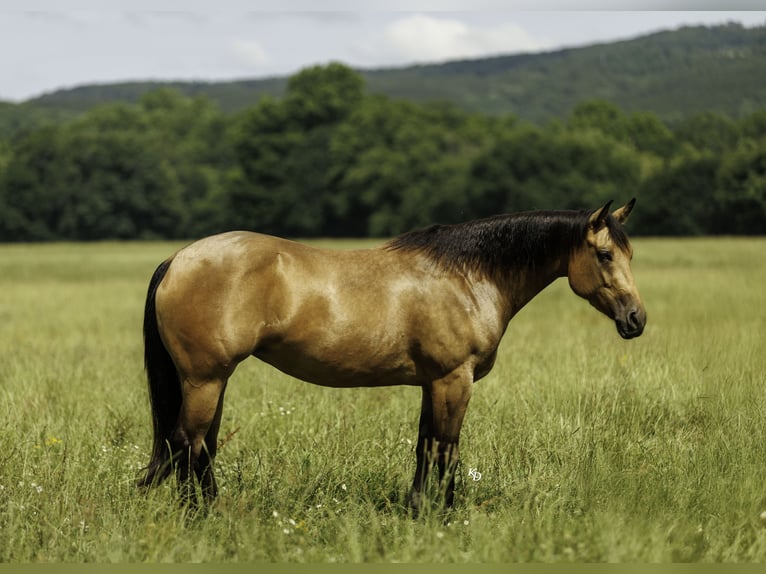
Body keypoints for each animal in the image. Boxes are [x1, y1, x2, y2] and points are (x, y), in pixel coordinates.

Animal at [138, 199, 646, 512]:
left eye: (630, 254)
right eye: (604, 255)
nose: (636, 319)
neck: (466, 277)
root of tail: (178, 259)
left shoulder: (431, 382)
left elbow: (425, 447)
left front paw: (419, 509)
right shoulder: (453, 380)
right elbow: (446, 450)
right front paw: (444, 515)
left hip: (211, 381)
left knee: (198, 446)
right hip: (205, 379)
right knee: (185, 443)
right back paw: (200, 516)